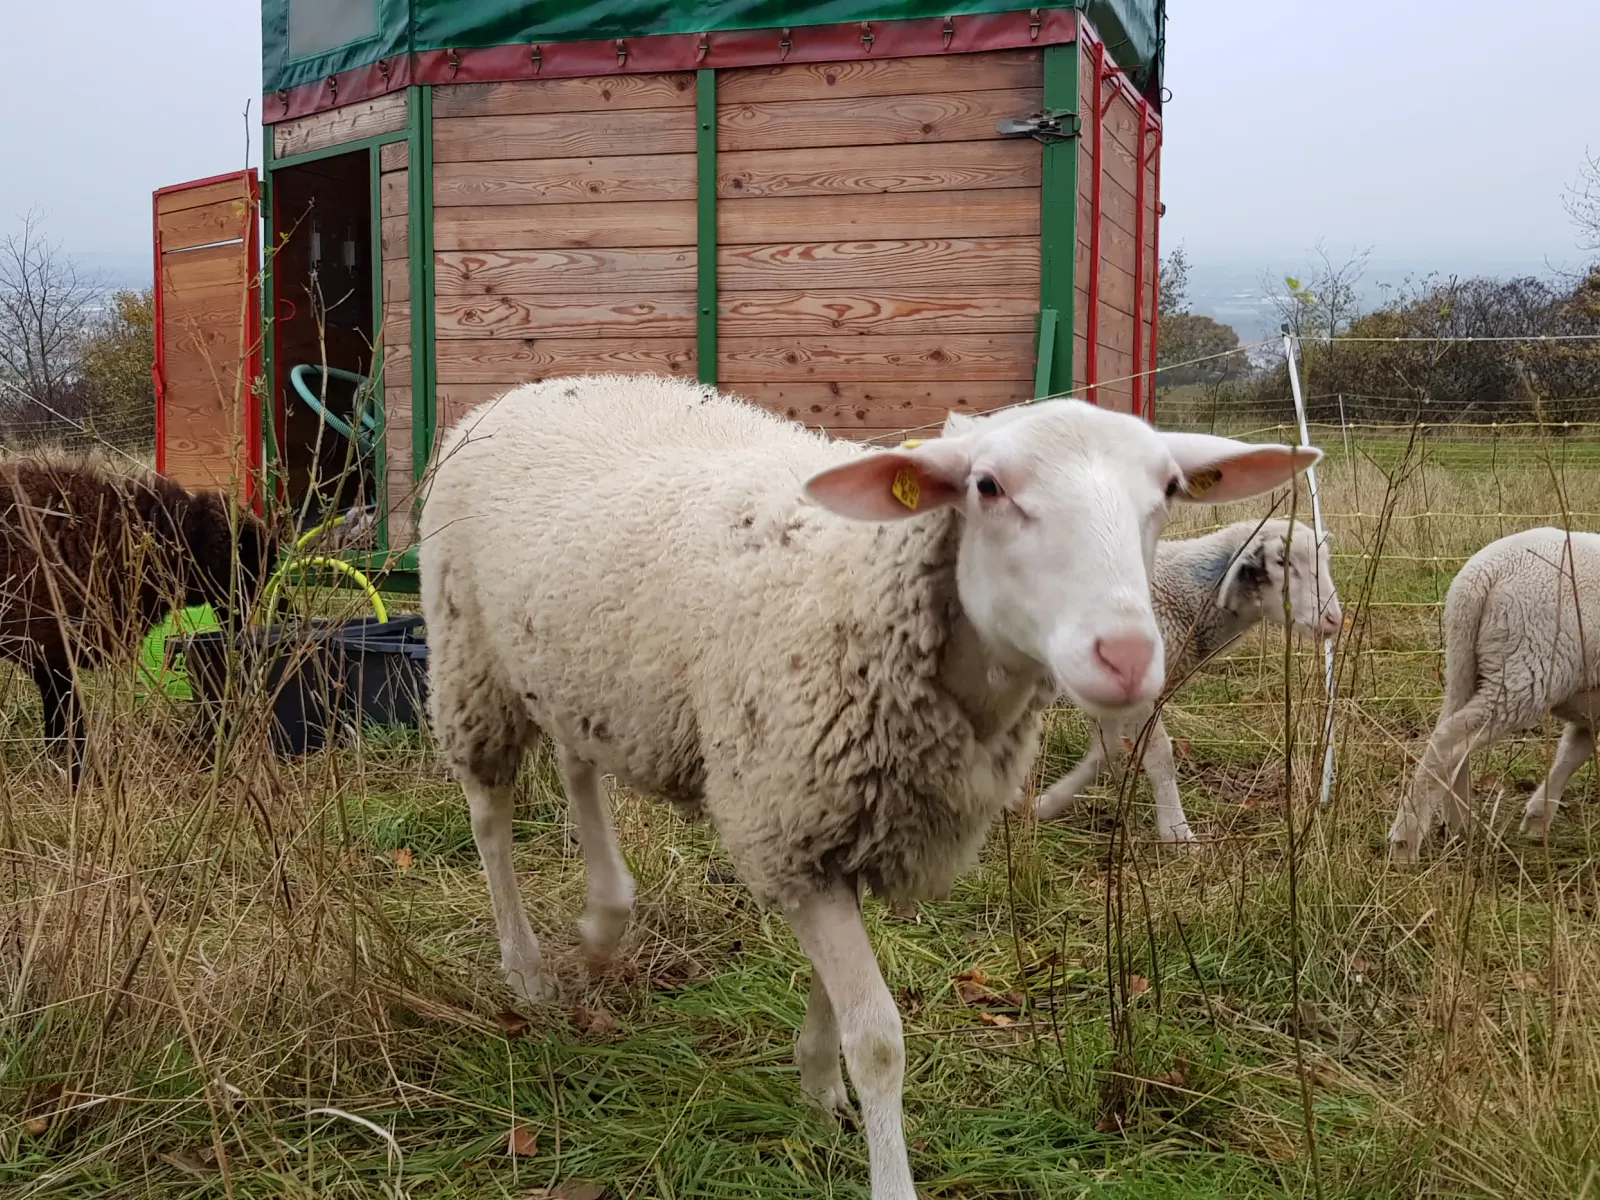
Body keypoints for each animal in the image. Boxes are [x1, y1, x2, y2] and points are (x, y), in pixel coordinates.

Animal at [1027, 517, 1343, 842]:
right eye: (1282, 561)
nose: (1334, 620)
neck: (1186, 596)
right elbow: (1160, 756)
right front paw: (1177, 833)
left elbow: (1106, 752)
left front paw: (1046, 803)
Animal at [1388, 527, 1600, 862]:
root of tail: (1484, 572)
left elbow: (1573, 754)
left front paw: (1536, 818)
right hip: (1526, 670)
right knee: (1448, 742)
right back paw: (1406, 842)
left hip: (1465, 664)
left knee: (1451, 735)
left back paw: (1457, 824)